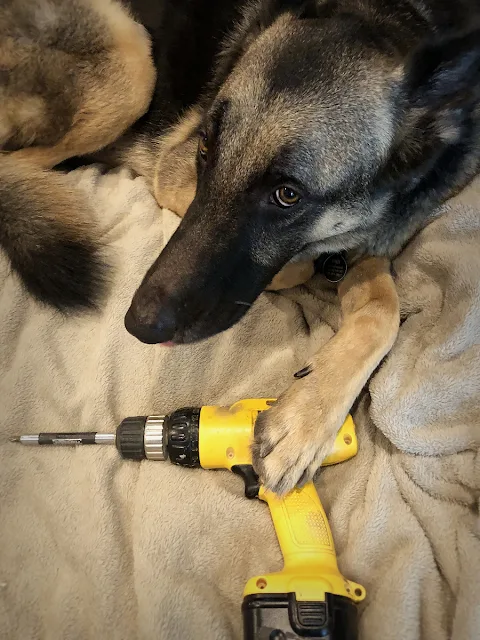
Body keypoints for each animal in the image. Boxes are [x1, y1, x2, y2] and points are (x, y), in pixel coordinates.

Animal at [2, 0, 480, 492]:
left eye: (288, 194)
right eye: (206, 149)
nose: (138, 325)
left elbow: (382, 311)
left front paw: (306, 415)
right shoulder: (175, 172)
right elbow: (299, 267)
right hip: (130, 66)